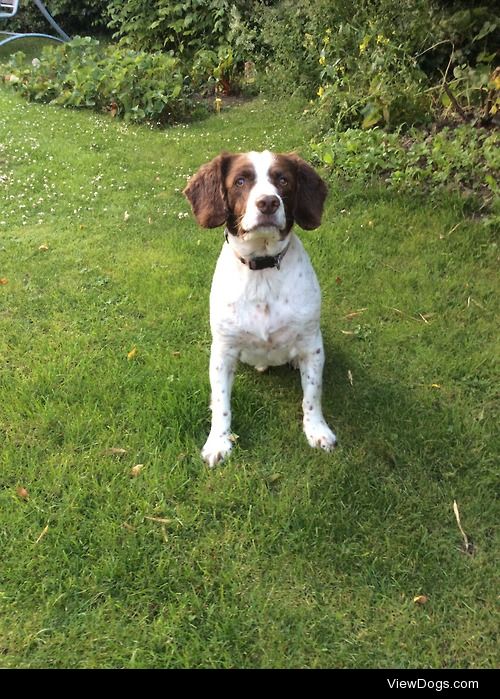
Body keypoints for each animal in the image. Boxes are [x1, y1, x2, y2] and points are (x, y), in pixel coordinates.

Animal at [184, 150, 336, 468]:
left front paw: (317, 430)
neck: (262, 270)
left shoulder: (312, 346)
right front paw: (219, 442)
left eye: (283, 180)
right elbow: (221, 402)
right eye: (241, 181)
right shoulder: (223, 351)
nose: (268, 202)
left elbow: (312, 395)